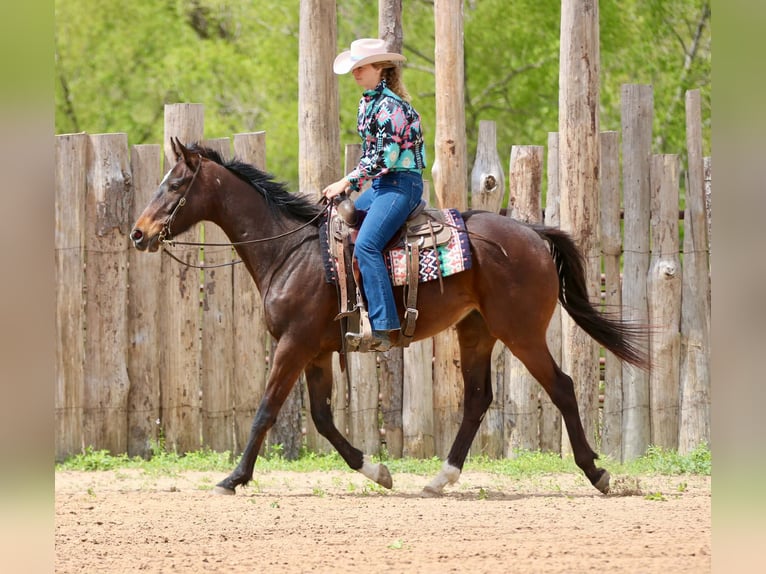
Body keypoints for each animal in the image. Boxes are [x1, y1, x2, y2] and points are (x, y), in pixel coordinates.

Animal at [130, 138, 648, 496]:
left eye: (174, 185)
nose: (138, 234)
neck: (290, 251)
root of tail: (534, 234)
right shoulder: (316, 352)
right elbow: (322, 418)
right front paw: (377, 471)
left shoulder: (292, 345)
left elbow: (265, 412)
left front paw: (233, 478)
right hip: (476, 331)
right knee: (477, 399)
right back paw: (441, 478)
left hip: (521, 332)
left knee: (561, 387)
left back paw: (598, 473)